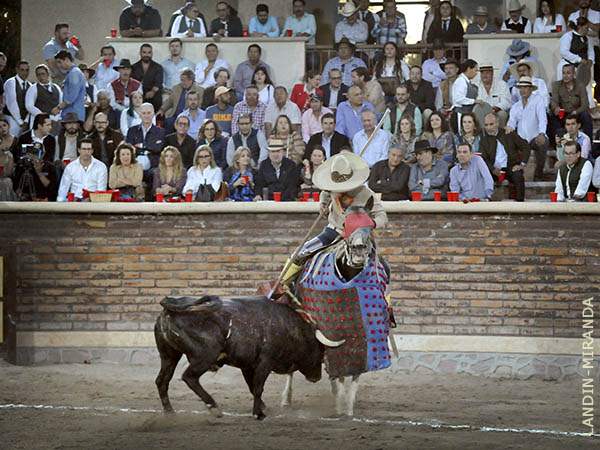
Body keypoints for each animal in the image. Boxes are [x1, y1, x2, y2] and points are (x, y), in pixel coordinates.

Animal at [154, 296, 324, 418]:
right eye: (319, 352)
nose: (317, 377)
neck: (286, 327)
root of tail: (170, 307)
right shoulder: (265, 362)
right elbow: (258, 387)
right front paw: (258, 414)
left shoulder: (247, 365)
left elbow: (251, 386)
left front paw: (262, 407)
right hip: (205, 356)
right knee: (189, 377)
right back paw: (214, 408)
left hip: (169, 355)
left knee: (162, 381)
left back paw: (170, 412)